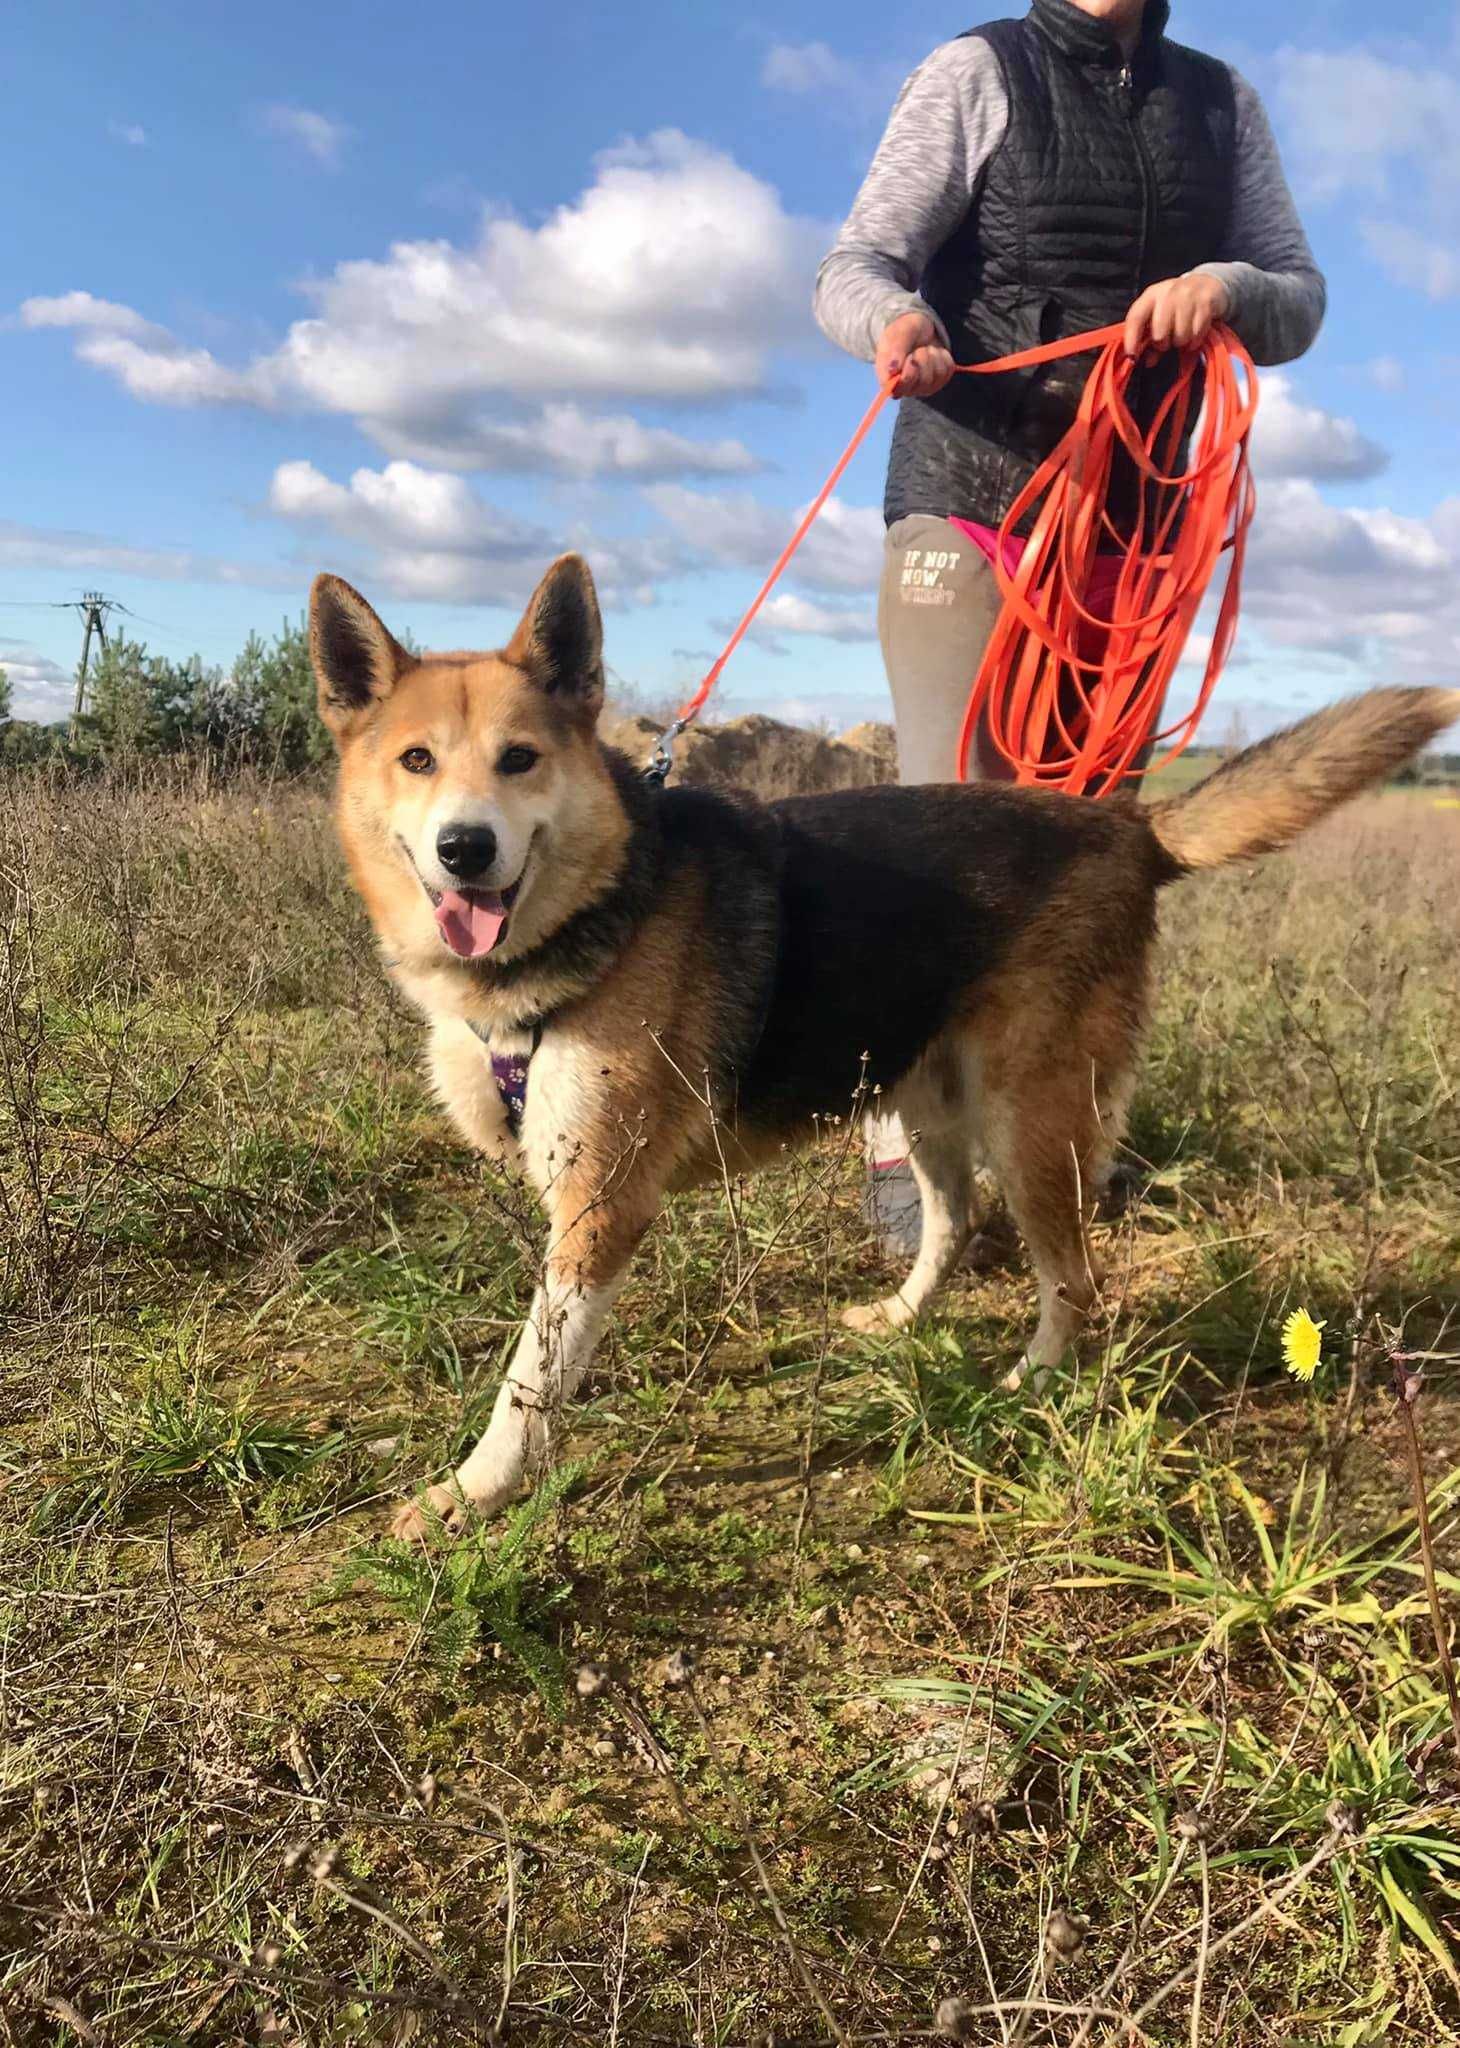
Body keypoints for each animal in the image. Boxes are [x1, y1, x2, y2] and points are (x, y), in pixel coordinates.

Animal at [311, 552, 1457, 1531]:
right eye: (417, 760)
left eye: (521, 760)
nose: (466, 849)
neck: (593, 912)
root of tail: (1127, 829)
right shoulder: (580, 1213)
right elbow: (554, 1346)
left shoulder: (601, 1201)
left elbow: (527, 1378)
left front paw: (476, 1492)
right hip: (923, 1100)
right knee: (952, 1219)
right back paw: (904, 1319)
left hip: (1029, 1121)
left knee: (1072, 1277)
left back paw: (1033, 1382)